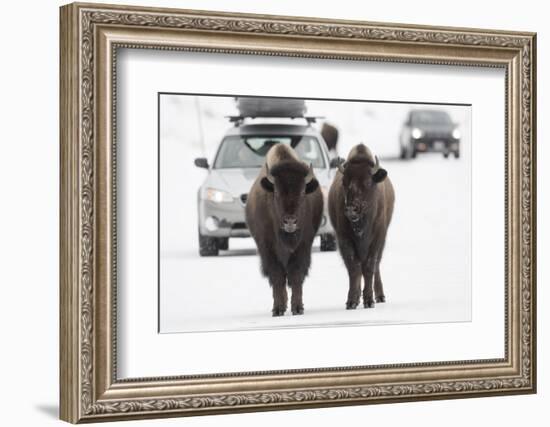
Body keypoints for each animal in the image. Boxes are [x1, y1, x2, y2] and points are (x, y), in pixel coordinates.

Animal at [245, 145, 324, 316]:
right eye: (276, 192)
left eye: (302, 192)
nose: (290, 221)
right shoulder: (267, 248)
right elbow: (277, 276)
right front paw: (278, 309)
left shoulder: (303, 246)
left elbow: (296, 275)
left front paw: (298, 308)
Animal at [330, 145, 394, 310]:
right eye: (344, 182)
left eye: (367, 182)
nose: (351, 209)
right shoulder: (344, 239)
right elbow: (354, 267)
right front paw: (352, 301)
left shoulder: (377, 239)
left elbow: (369, 267)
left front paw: (369, 300)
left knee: (376, 266)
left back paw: (380, 296)